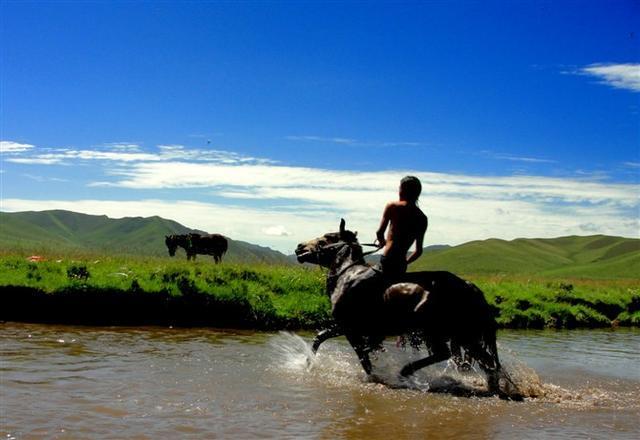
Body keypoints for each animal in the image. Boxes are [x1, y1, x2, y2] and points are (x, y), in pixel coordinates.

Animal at [296, 219, 520, 398]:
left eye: (327, 238)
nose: (299, 247)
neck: (347, 274)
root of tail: (469, 286)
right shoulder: (349, 327)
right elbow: (320, 337)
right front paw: (307, 364)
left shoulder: (351, 328)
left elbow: (362, 357)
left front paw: (376, 378)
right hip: (465, 335)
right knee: (486, 361)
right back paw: (495, 389)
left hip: (437, 331)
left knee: (445, 354)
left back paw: (406, 372)